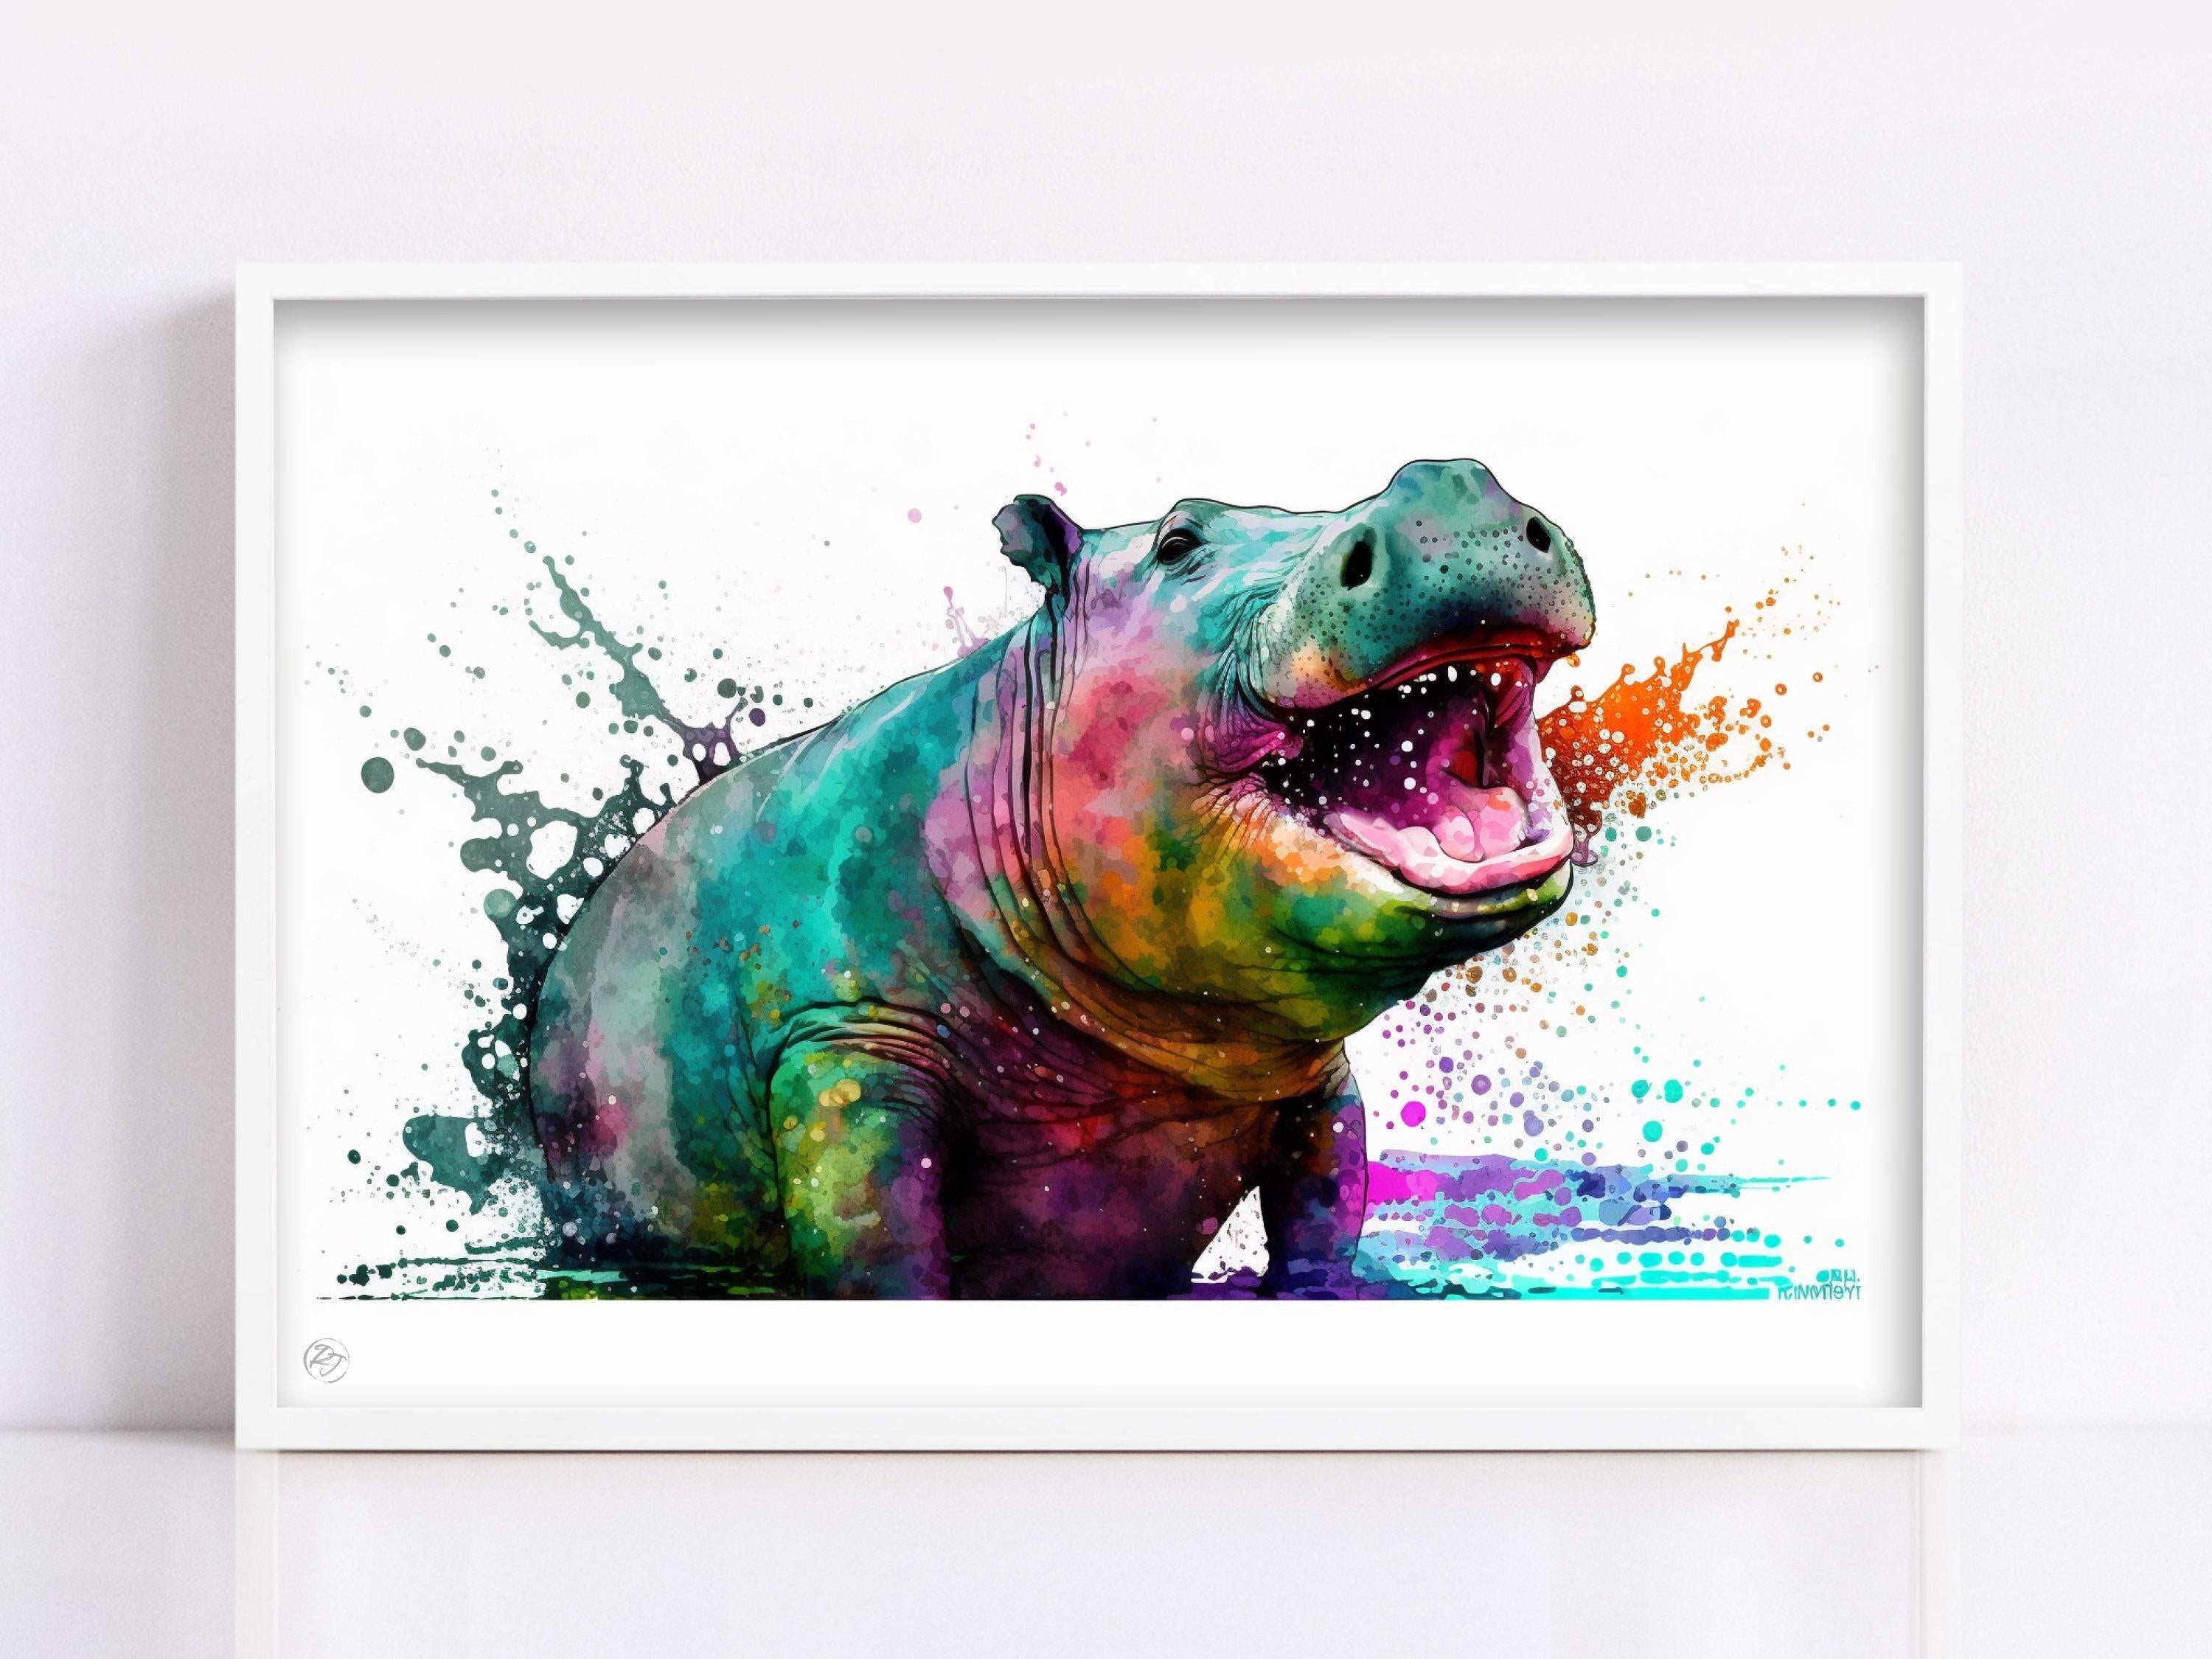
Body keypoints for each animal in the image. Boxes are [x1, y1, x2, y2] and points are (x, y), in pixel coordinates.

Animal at [529, 459, 1596, 1297]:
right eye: (1177, 540)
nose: (1448, 484)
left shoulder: (1314, 1076)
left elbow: (1324, 1212)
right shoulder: (843, 1051)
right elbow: (880, 1246)